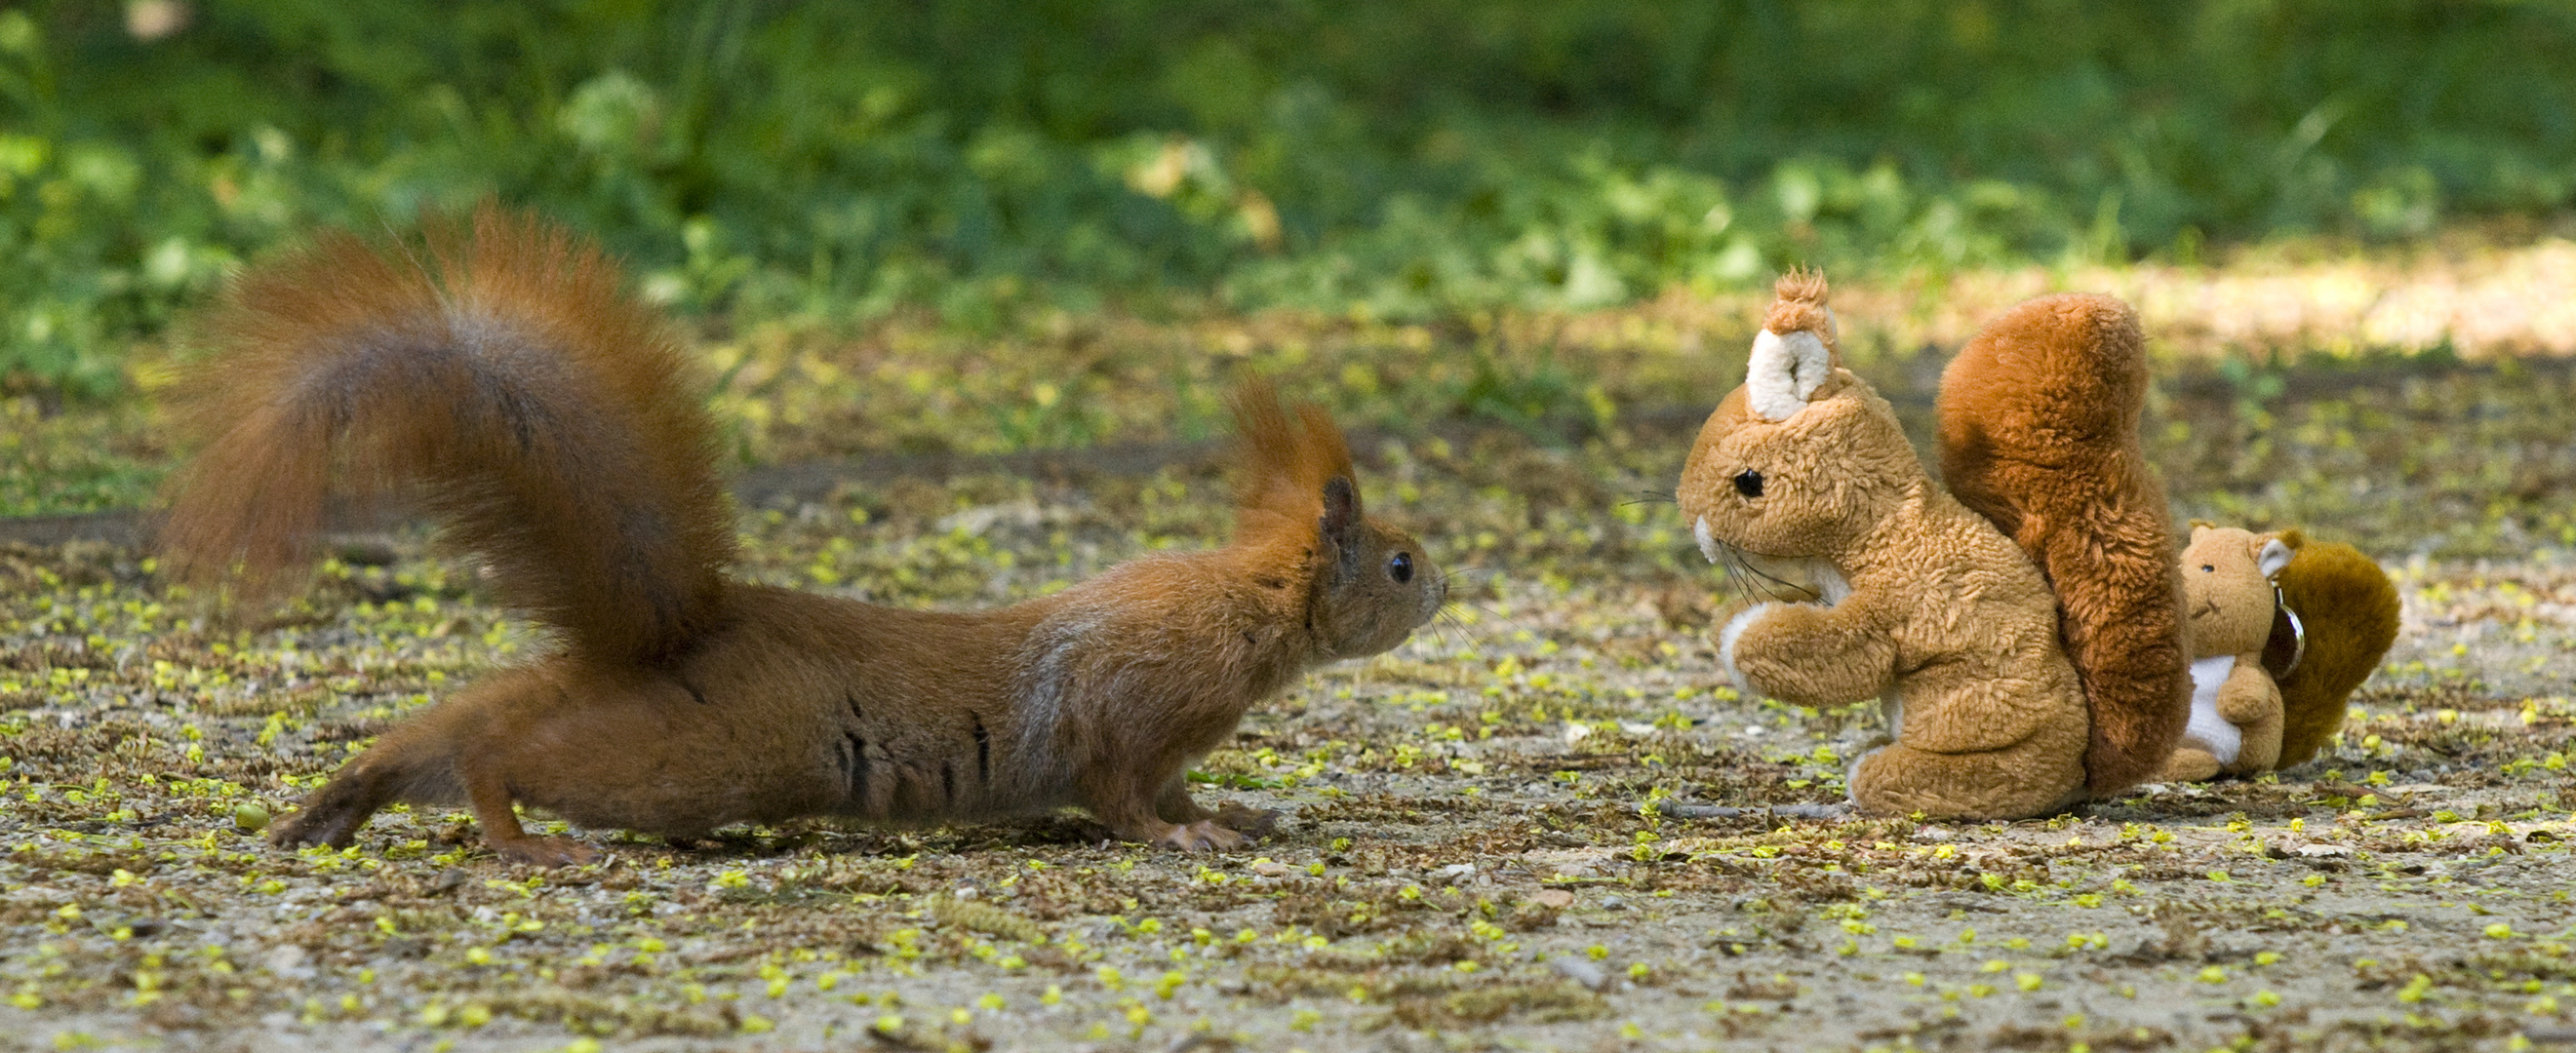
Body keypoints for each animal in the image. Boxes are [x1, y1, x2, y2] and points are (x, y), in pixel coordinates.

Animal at [161, 204, 1452, 859]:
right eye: (1398, 562)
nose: (1446, 591)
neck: (1251, 602)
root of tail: (688, 627)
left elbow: (1175, 790)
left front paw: (1236, 814)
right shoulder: (1138, 701)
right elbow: (1126, 790)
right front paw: (1196, 840)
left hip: (616, 708)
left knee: (460, 722)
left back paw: (343, 799)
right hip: (714, 753)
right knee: (508, 755)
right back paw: (517, 835)